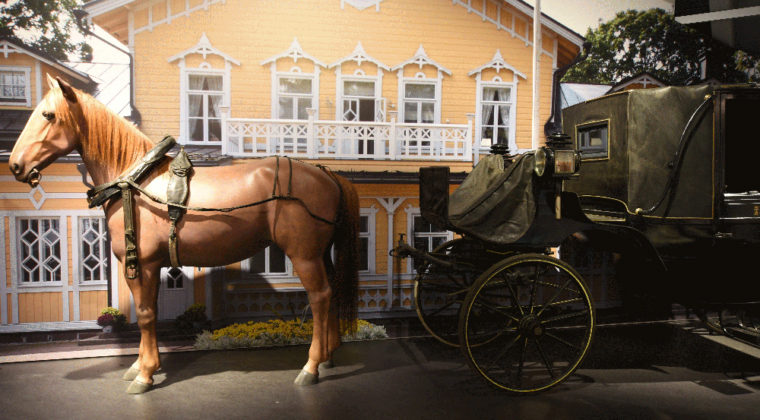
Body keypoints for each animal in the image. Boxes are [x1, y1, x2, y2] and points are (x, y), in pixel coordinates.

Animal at [8, 75, 360, 394]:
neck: (137, 180)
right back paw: (327, 357)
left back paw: (310, 367)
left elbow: (146, 314)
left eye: (48, 115)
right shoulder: (149, 267)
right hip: (320, 254)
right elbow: (148, 313)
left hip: (304, 255)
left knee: (319, 297)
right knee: (331, 293)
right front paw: (141, 365)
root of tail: (327, 175)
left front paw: (145, 373)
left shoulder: (142, 265)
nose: (15, 165)